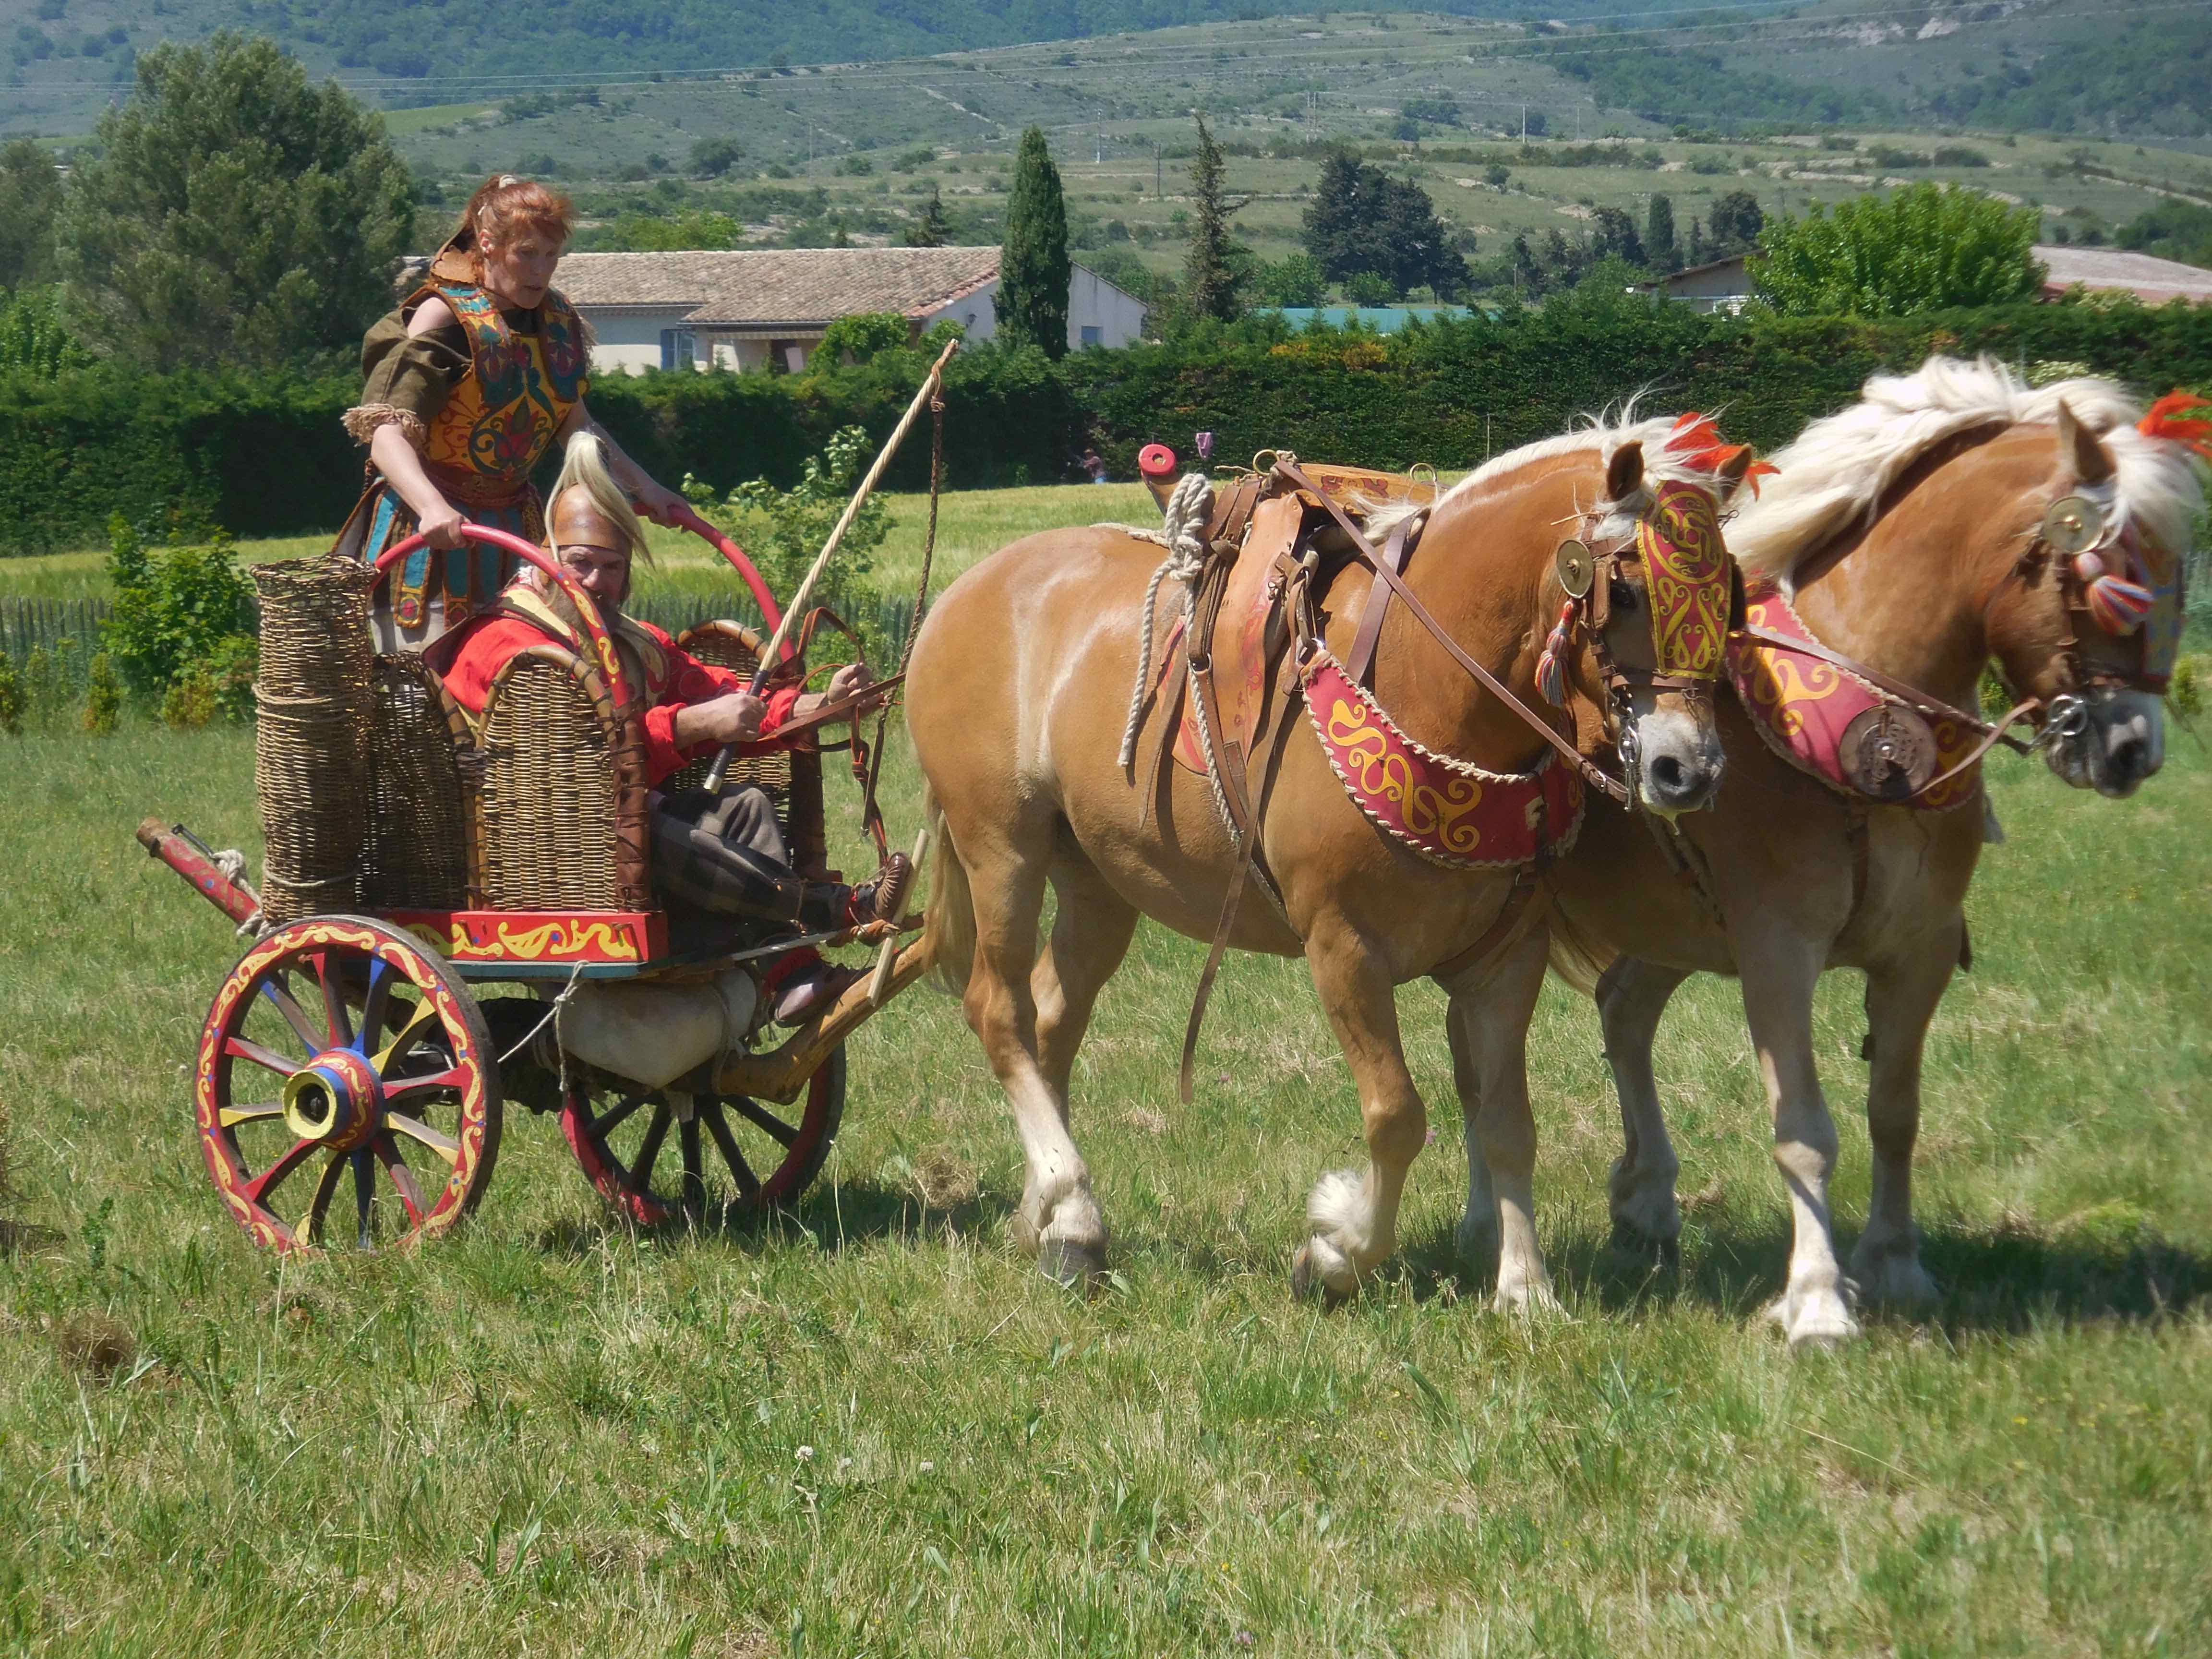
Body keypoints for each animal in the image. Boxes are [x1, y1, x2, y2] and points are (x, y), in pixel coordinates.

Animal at [907, 417, 1755, 1307]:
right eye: (1621, 591)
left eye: (1730, 595)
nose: (1689, 769)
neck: (1425, 678)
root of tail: (966, 591)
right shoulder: (1342, 948)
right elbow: (1397, 1116)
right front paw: (1338, 1251)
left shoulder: (1504, 959)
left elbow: (1505, 1124)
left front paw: (1524, 1289)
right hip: (1001, 844)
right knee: (998, 1010)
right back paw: (1067, 1198)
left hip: (1098, 879)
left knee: (1051, 1018)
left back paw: (1058, 1220)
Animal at [1462, 359, 2199, 1348]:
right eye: (2112, 579)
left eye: (2179, 568)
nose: (2131, 750)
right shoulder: (1777, 946)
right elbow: (1803, 1129)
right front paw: (1815, 1300)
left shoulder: (1921, 949)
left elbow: (1894, 1112)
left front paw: (1895, 1265)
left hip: (1672, 921)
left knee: (1622, 1010)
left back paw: (1646, 1200)